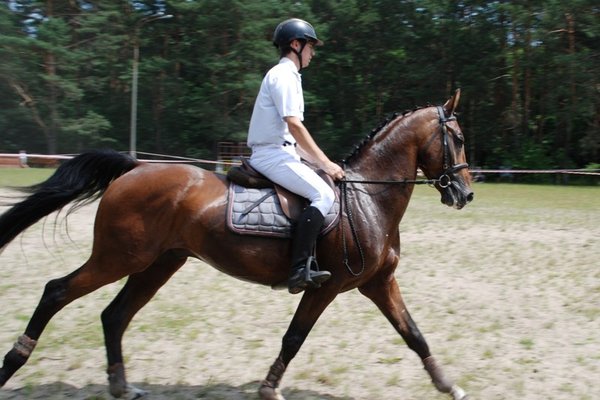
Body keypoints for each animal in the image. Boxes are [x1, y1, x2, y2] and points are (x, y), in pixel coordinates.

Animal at [0, 90, 474, 400]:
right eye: (459, 139)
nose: (466, 194)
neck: (369, 198)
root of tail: (135, 168)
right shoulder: (327, 285)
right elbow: (294, 337)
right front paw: (268, 388)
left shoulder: (378, 283)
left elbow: (414, 335)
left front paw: (448, 385)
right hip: (118, 257)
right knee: (57, 291)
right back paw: (13, 362)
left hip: (158, 263)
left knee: (114, 315)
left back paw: (120, 384)